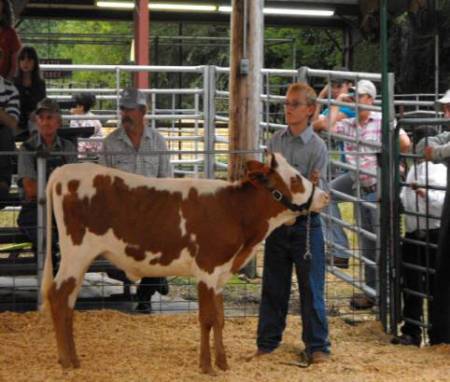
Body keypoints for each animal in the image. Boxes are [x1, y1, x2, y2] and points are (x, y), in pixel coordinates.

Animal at [40, 151, 328, 374]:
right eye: (294, 178)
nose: (325, 196)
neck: (234, 211)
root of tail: (64, 171)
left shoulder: (221, 275)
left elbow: (220, 319)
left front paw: (223, 363)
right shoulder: (207, 270)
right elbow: (207, 319)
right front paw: (207, 366)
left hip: (80, 260)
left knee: (68, 303)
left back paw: (73, 359)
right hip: (76, 253)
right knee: (57, 296)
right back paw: (66, 362)